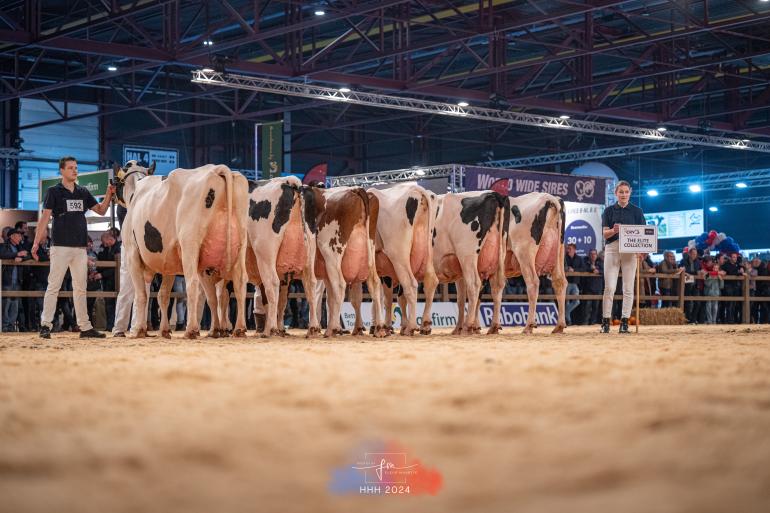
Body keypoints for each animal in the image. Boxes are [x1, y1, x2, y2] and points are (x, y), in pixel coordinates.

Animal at [114, 160, 248, 336]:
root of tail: (217, 169)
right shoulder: (168, 261)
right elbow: (163, 295)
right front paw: (164, 330)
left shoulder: (132, 254)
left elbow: (141, 294)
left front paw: (138, 330)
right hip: (240, 246)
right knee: (238, 285)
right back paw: (237, 328)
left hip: (189, 245)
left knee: (192, 284)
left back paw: (191, 329)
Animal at [424, 190, 508, 334]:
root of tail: (491, 193)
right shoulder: (459, 273)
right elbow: (461, 299)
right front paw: (457, 328)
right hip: (497, 258)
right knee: (497, 287)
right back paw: (493, 327)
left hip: (467, 256)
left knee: (474, 284)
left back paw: (468, 326)